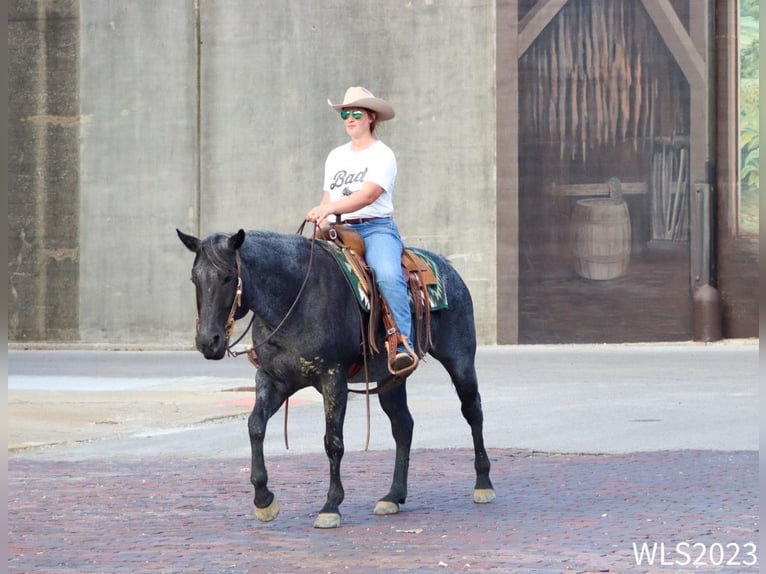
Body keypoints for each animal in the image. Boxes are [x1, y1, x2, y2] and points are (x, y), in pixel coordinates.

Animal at [176, 228, 496, 532]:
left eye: (228, 277)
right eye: (193, 278)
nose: (208, 342)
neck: (294, 298)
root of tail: (447, 267)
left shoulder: (333, 379)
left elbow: (333, 441)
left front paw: (330, 506)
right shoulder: (273, 380)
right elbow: (255, 426)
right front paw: (264, 500)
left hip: (460, 360)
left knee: (473, 412)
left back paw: (483, 484)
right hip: (392, 379)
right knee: (403, 426)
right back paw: (393, 496)